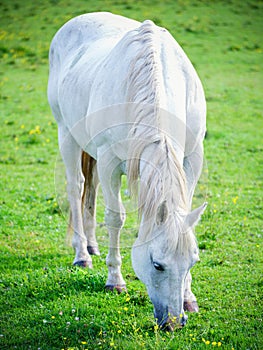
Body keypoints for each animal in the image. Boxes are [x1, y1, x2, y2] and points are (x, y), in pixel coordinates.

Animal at [48, 12, 208, 330]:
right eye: (157, 264)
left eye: (193, 261)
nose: (174, 323)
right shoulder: (110, 160)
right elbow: (116, 218)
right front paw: (115, 280)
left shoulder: (193, 157)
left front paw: (189, 297)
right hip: (66, 134)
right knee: (76, 187)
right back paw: (82, 254)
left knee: (91, 190)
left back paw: (92, 246)